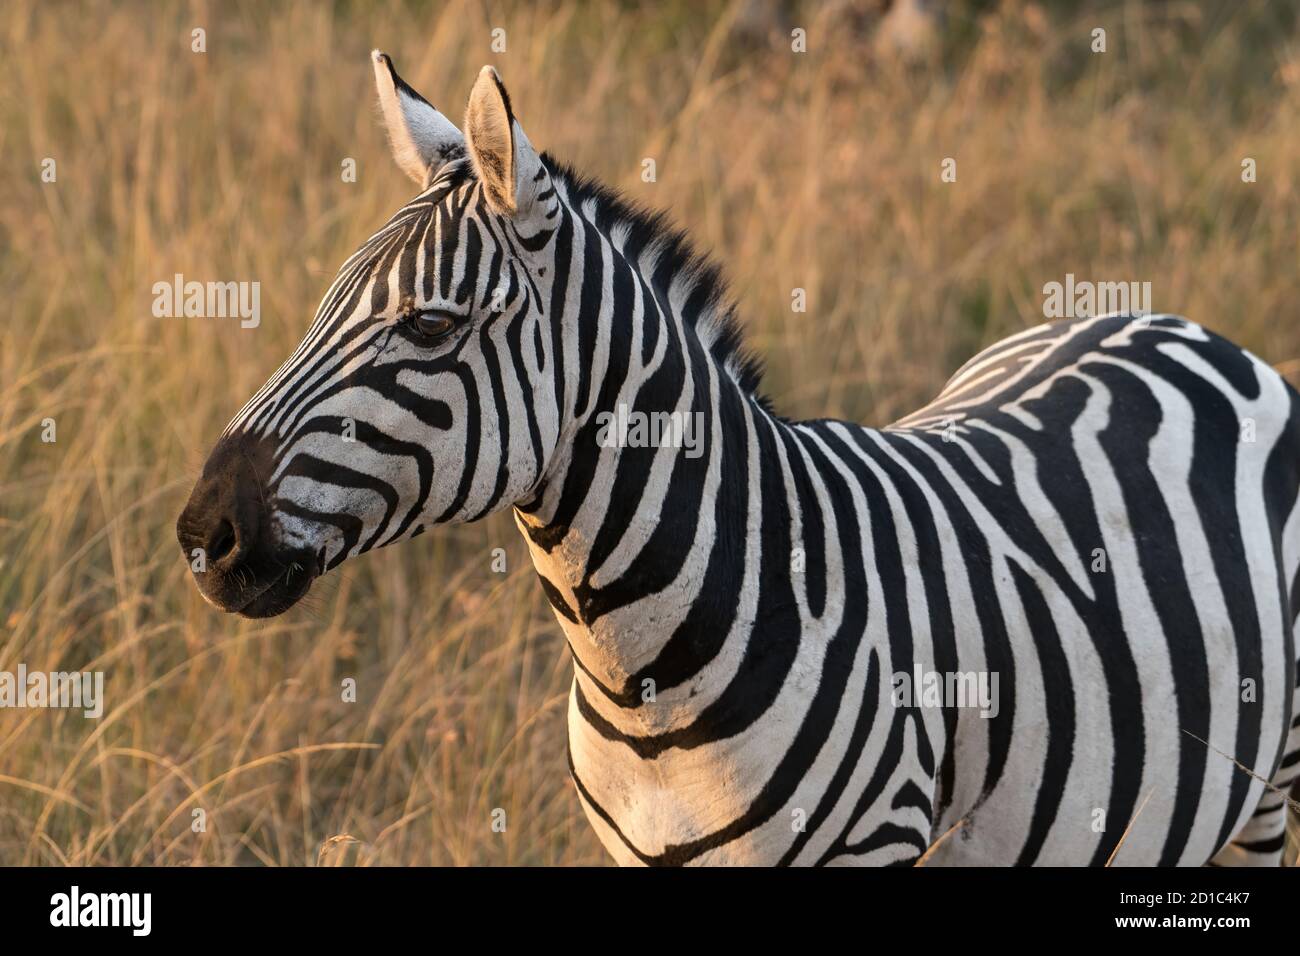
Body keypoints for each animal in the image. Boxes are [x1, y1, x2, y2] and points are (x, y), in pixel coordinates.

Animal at [178, 54, 1300, 868]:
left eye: (428, 325)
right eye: (323, 305)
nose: (203, 533)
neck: (645, 679)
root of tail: (1171, 320)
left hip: (1271, 789)